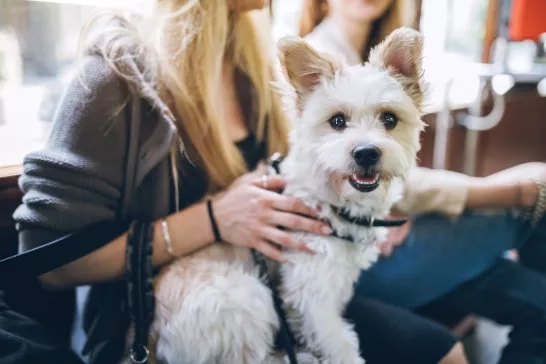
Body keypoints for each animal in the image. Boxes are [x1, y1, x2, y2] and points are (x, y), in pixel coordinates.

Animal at [148, 26, 424, 364]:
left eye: (389, 119)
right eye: (337, 121)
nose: (366, 153)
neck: (329, 201)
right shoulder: (311, 293)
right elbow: (339, 344)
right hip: (247, 297)